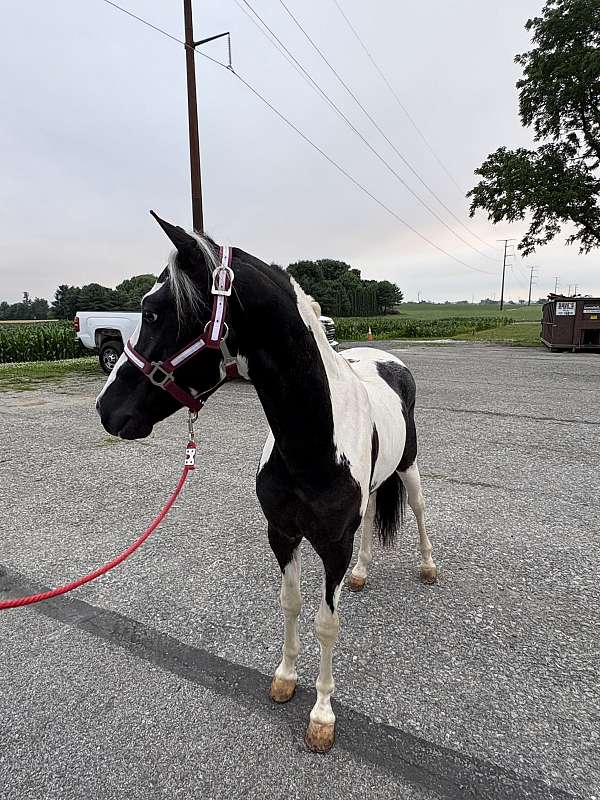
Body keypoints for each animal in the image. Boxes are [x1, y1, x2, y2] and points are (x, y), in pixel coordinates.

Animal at [96, 213, 437, 753]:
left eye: (152, 312)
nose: (105, 409)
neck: (311, 442)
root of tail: (388, 359)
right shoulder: (283, 533)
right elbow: (291, 604)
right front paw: (284, 678)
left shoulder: (333, 544)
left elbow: (326, 623)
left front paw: (322, 714)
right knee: (369, 528)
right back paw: (363, 574)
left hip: (409, 466)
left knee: (421, 509)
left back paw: (427, 566)